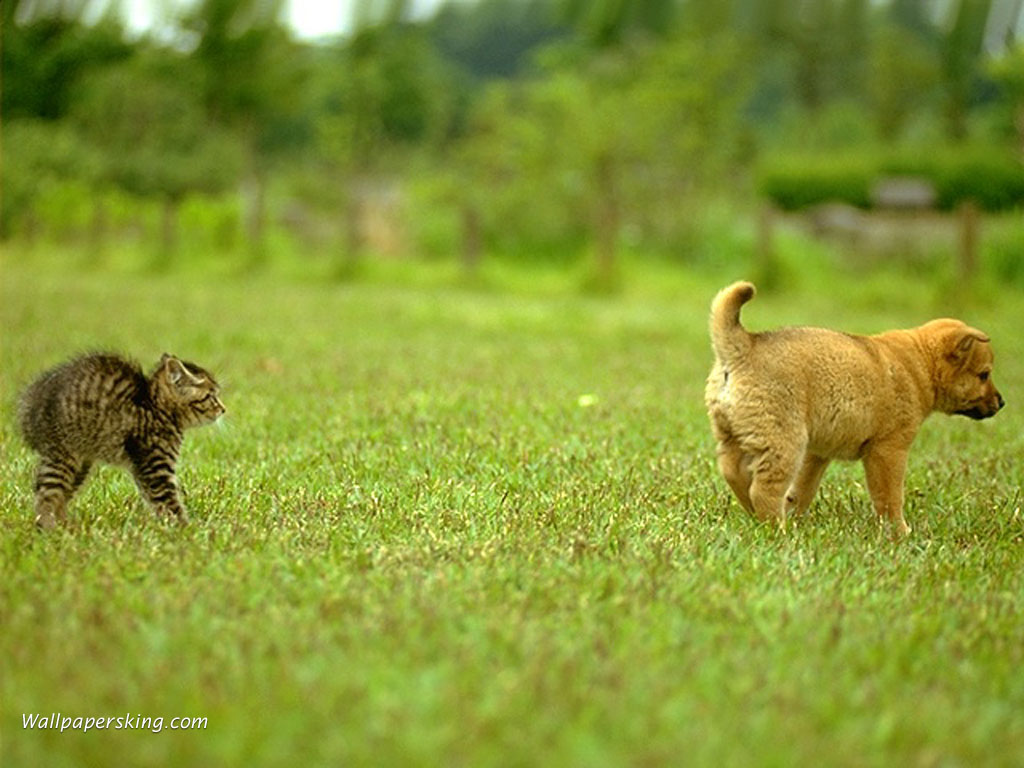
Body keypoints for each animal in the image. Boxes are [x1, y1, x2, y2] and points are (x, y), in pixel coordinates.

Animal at [17, 354, 226, 528]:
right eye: (211, 396)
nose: (223, 409)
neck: (157, 409)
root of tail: (28, 406)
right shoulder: (154, 467)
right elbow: (169, 504)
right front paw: (186, 530)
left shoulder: (144, 468)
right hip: (63, 456)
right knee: (46, 495)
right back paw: (51, 529)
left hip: (80, 464)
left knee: (59, 496)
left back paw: (66, 526)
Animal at [708, 280, 1003, 536]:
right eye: (984, 375)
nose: (1002, 403)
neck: (920, 365)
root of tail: (744, 346)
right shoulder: (889, 449)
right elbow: (890, 497)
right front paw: (899, 532)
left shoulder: (817, 453)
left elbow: (803, 489)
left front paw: (794, 514)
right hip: (784, 441)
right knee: (764, 489)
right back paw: (777, 530)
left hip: (733, 435)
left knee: (734, 473)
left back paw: (755, 514)